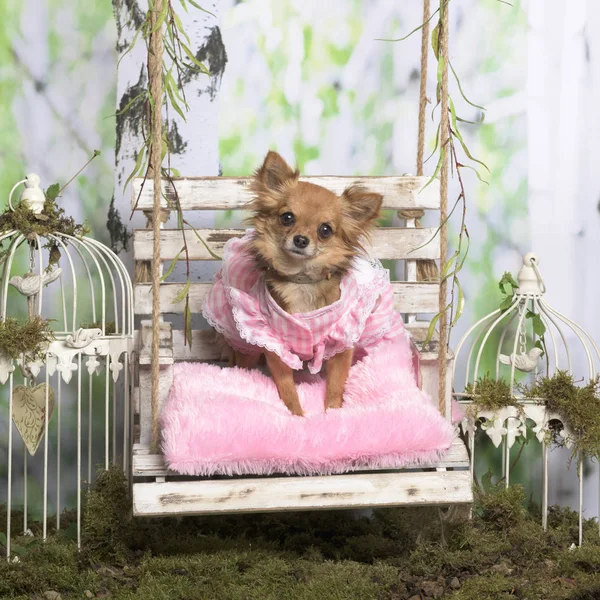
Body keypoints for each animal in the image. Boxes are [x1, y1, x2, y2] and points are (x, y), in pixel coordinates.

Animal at [205, 150, 384, 418]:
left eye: (325, 230)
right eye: (287, 218)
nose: (300, 240)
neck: (301, 280)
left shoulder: (342, 344)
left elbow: (336, 384)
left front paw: (332, 413)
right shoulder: (273, 345)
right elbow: (287, 387)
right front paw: (297, 416)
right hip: (245, 347)